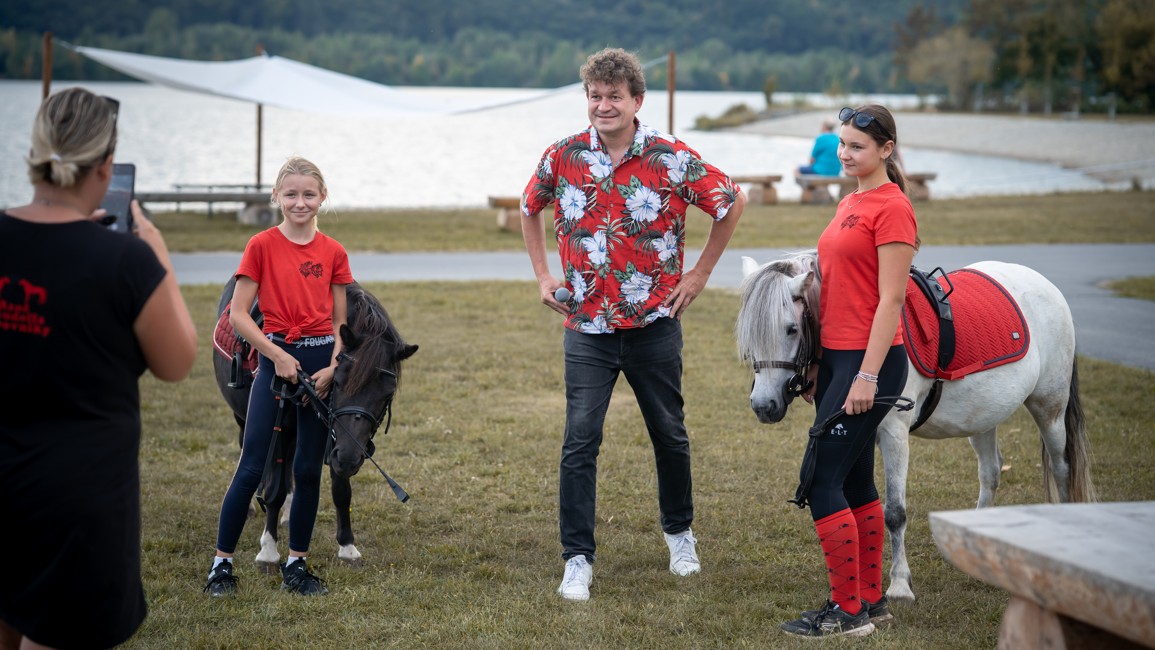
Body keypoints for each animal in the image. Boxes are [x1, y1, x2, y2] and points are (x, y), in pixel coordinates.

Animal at [213, 277, 418, 570]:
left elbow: (341, 489)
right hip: (245, 418)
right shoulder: (284, 429)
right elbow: (273, 489)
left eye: (387, 394)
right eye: (339, 381)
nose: (350, 459)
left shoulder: (337, 436)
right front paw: (268, 550)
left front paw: (347, 547)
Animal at [735, 250, 1094, 603]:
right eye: (748, 335)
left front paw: (898, 584)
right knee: (991, 473)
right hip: (984, 416)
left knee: (1062, 469)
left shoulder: (894, 433)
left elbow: (894, 512)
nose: (763, 405)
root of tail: (1044, 283)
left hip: (1050, 409)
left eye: (791, 329)